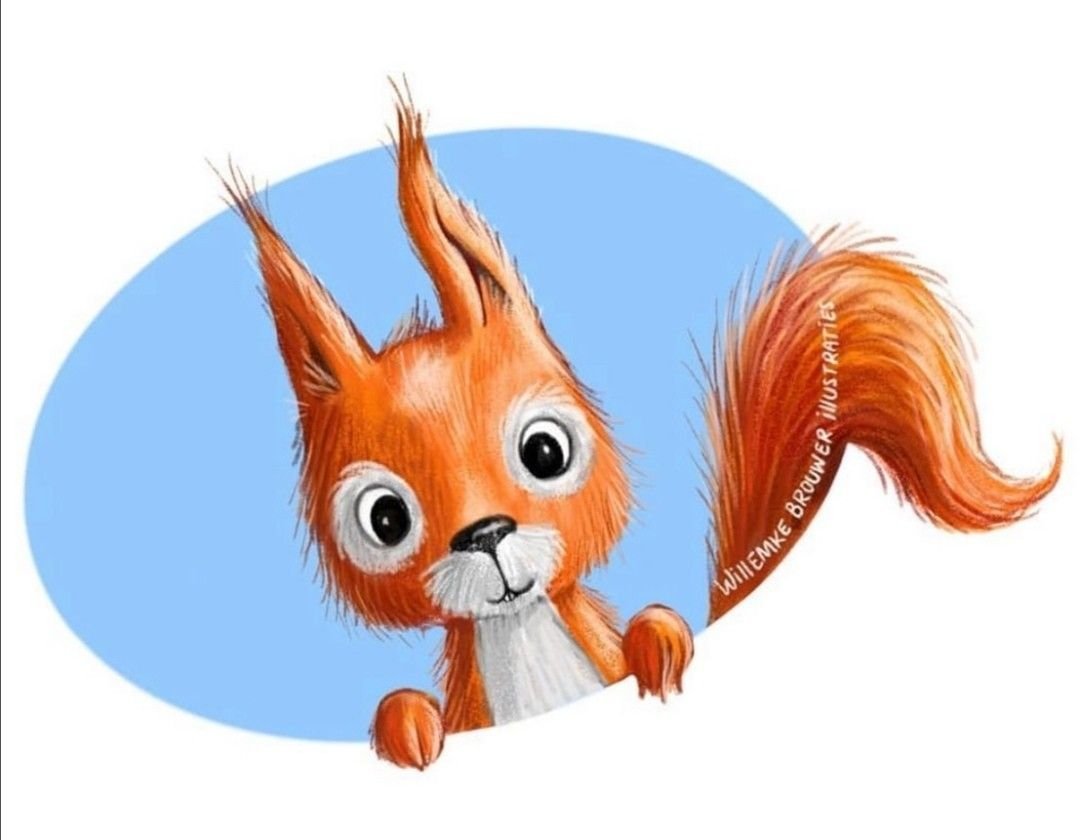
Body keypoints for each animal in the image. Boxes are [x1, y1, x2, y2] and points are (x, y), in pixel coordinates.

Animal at [221, 93, 1061, 770]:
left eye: (545, 452)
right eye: (385, 519)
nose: (486, 534)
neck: (522, 632)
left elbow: (644, 641)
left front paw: (659, 642)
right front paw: (405, 727)